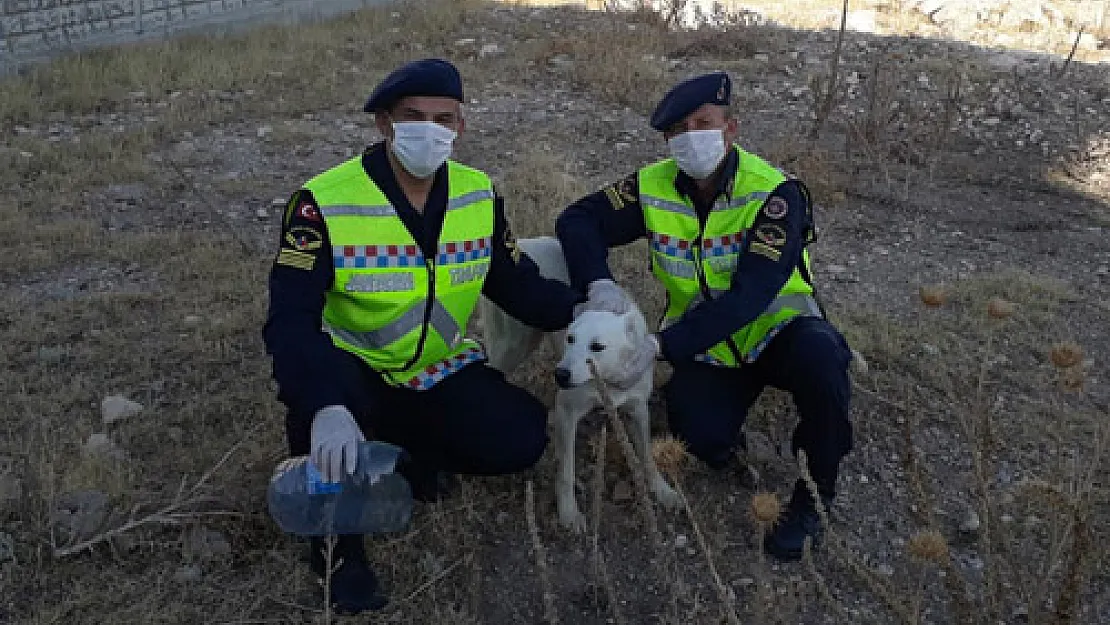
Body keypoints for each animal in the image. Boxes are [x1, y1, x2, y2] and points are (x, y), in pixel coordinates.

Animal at [479, 237, 679, 530]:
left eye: (597, 347)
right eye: (571, 339)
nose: (560, 375)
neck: (606, 378)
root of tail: (525, 242)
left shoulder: (638, 409)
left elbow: (647, 457)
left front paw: (662, 490)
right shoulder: (568, 412)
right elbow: (566, 472)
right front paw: (568, 513)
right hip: (512, 346)